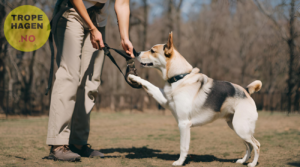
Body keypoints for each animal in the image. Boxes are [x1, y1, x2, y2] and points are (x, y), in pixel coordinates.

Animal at [129, 32, 262, 166]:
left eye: (152, 51)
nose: (136, 52)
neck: (179, 77)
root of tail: (246, 90)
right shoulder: (164, 100)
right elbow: (149, 85)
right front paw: (133, 77)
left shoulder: (183, 124)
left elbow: (183, 147)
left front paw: (180, 162)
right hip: (236, 127)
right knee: (249, 146)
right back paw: (243, 161)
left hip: (241, 128)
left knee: (256, 145)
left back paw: (252, 163)